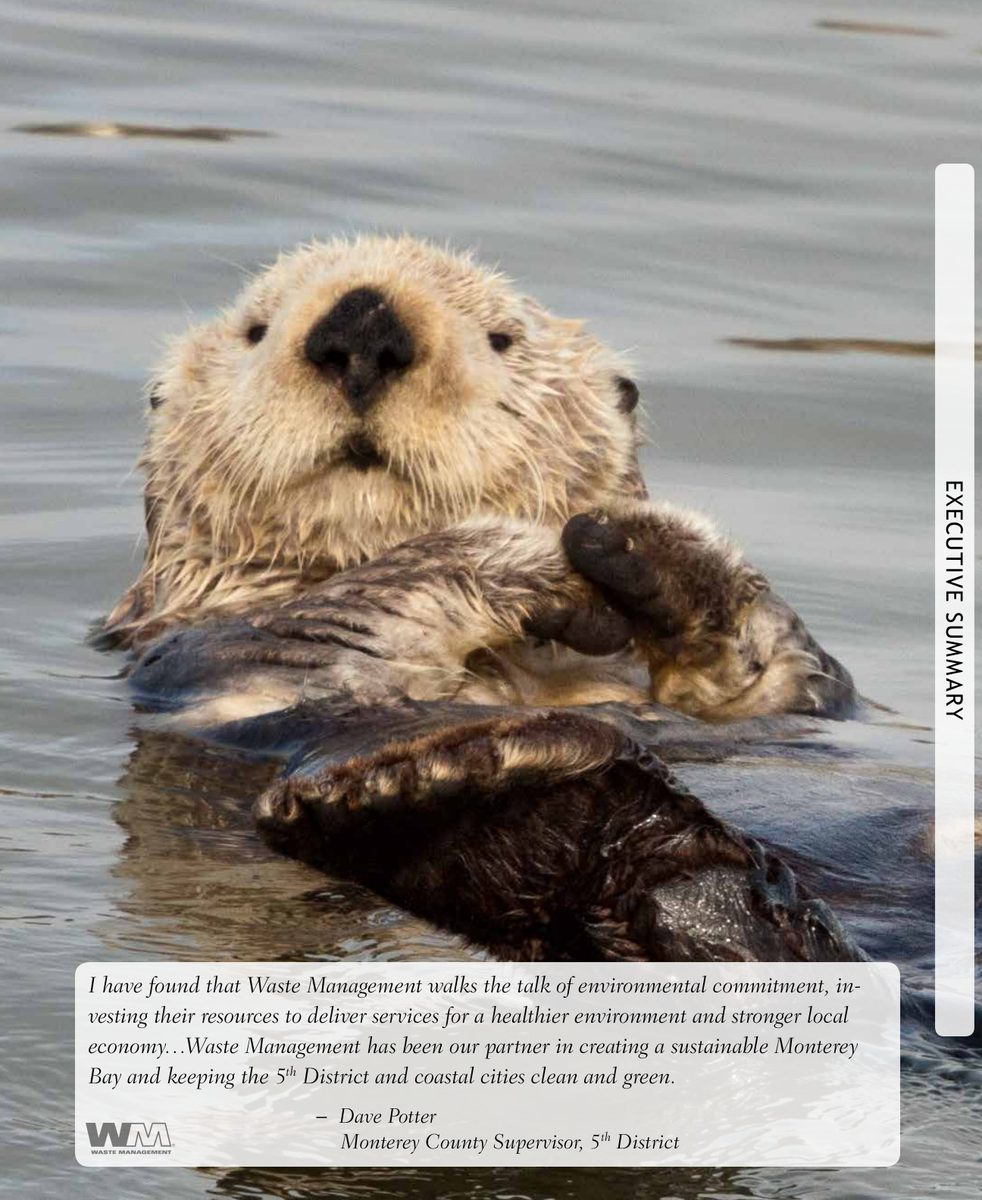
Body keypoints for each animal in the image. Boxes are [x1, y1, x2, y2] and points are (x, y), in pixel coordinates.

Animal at [104, 235, 859, 962]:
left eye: (502, 338)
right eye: (254, 330)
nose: (362, 327)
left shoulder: (786, 703)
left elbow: (783, 673)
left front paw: (643, 549)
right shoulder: (218, 653)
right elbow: (348, 614)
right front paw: (547, 564)